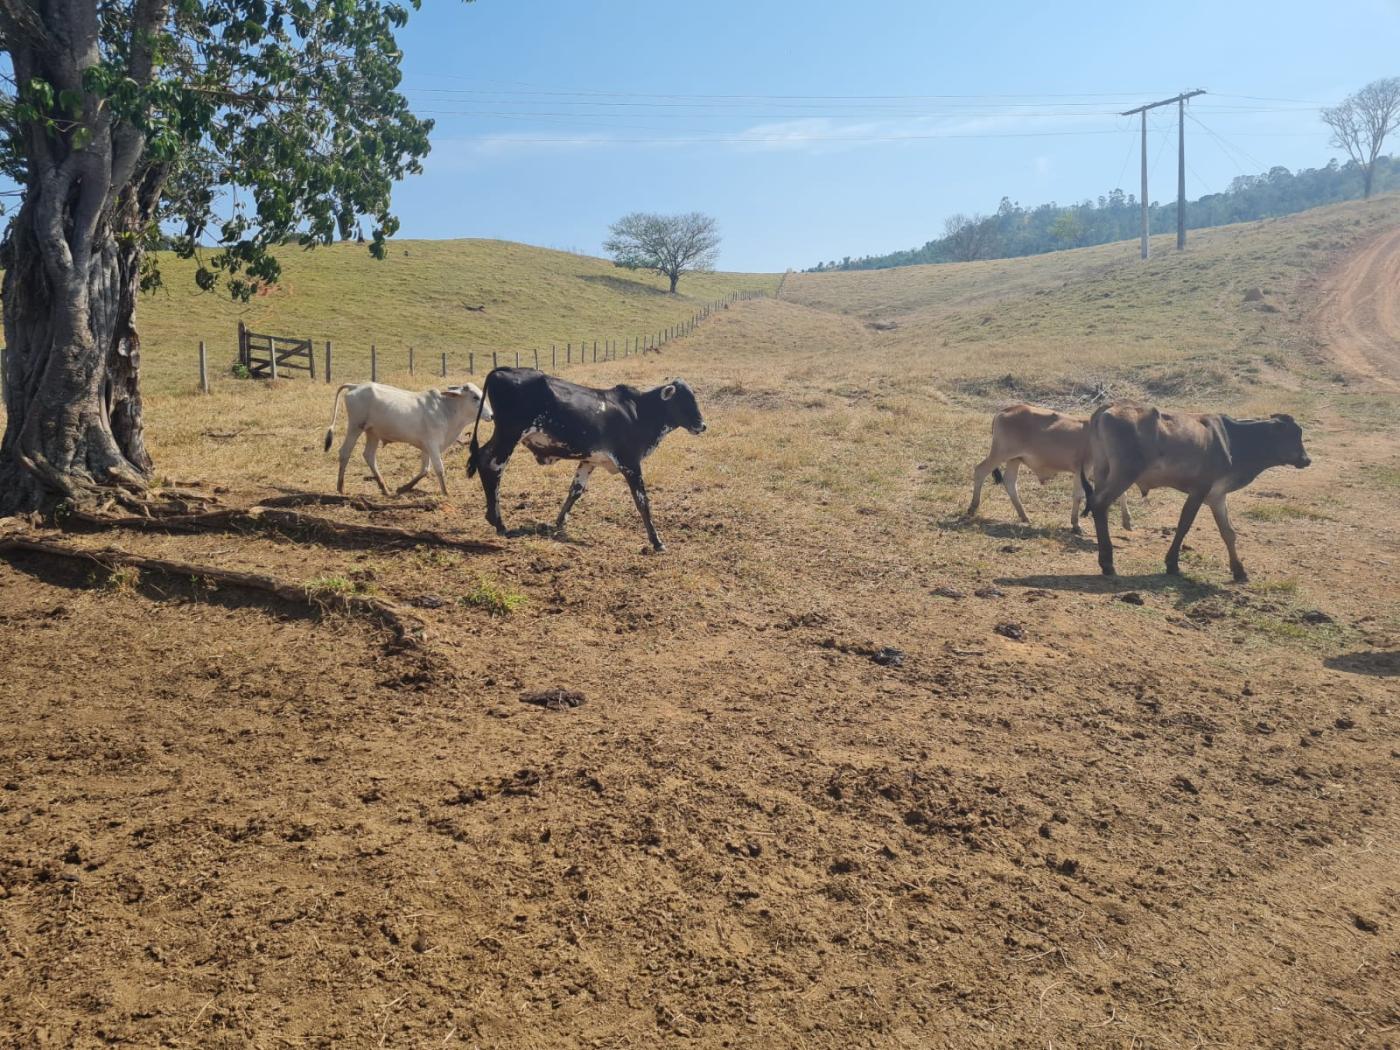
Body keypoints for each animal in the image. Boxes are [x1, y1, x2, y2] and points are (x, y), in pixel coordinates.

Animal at [323, 383, 492, 498]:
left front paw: (402, 488)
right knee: (345, 452)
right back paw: (341, 487)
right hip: (355, 427)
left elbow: (424, 470)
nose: (491, 415)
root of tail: (355, 386)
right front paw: (446, 492)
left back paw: (385, 488)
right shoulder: (432, 445)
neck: (446, 409)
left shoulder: (426, 447)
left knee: (369, 455)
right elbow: (439, 469)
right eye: (475, 397)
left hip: (372, 433)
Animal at [467, 366, 705, 554]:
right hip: (509, 435)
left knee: (483, 459)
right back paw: (498, 522)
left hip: (504, 435)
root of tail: (503, 370)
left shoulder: (590, 461)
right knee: (492, 466)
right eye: (683, 400)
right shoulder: (630, 462)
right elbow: (642, 501)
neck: (638, 412)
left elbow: (575, 490)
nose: (702, 425)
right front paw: (657, 542)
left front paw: (557, 523)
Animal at [974, 403, 1136, 534]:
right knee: (980, 471)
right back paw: (973, 508)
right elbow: (1078, 496)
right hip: (1000, 454)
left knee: (1010, 482)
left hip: (1014, 459)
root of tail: (1005, 410)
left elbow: (1122, 493)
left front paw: (1127, 521)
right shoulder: (1083, 469)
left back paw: (1024, 516)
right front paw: (1076, 525)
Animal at [1075, 403, 1304, 585]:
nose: (1306, 459)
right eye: (1294, 436)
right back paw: (1107, 562)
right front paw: (1172, 564)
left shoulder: (1217, 495)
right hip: (1125, 473)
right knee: (1099, 504)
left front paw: (1239, 570)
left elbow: (1228, 532)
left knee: (1097, 506)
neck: (1233, 441)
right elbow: (1184, 525)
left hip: (1103, 470)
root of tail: (1109, 408)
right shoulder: (1199, 490)